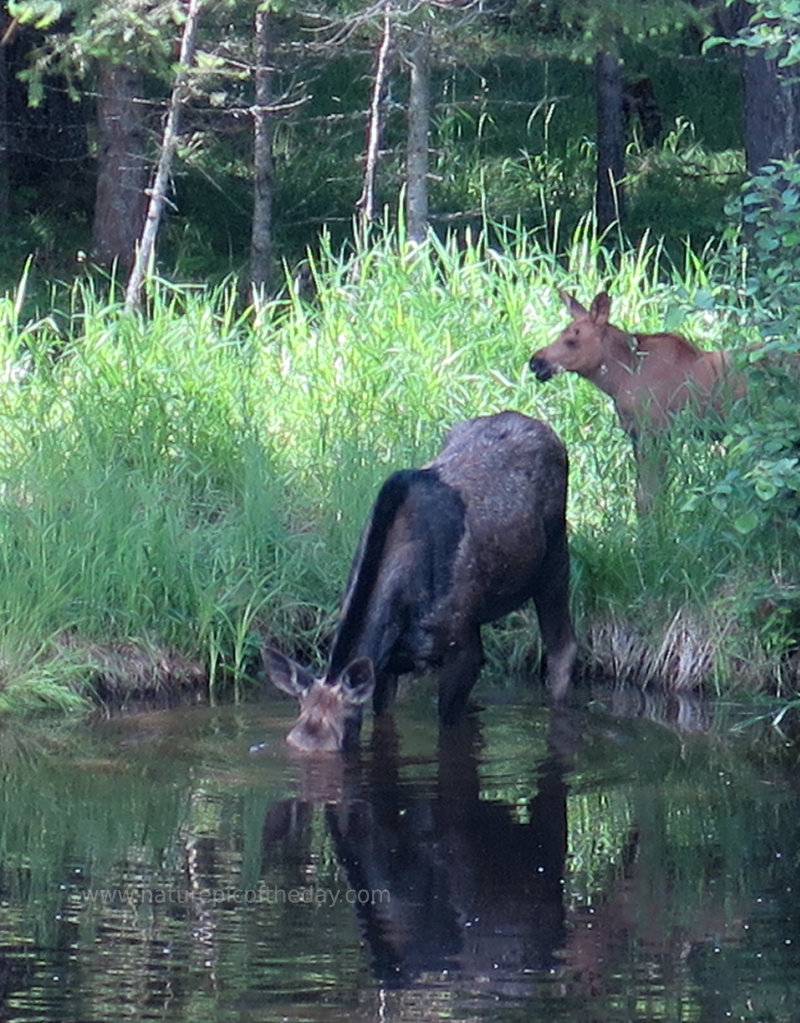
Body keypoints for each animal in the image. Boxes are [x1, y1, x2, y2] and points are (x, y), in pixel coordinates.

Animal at [265, 411, 581, 757]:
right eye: (292, 739)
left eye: (343, 736)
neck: (398, 614)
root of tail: (544, 428)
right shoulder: (387, 665)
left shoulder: (463, 649)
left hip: (554, 558)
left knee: (563, 648)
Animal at [527, 288, 748, 511]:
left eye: (572, 341)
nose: (536, 362)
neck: (618, 380)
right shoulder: (636, 433)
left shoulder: (655, 432)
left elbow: (649, 495)